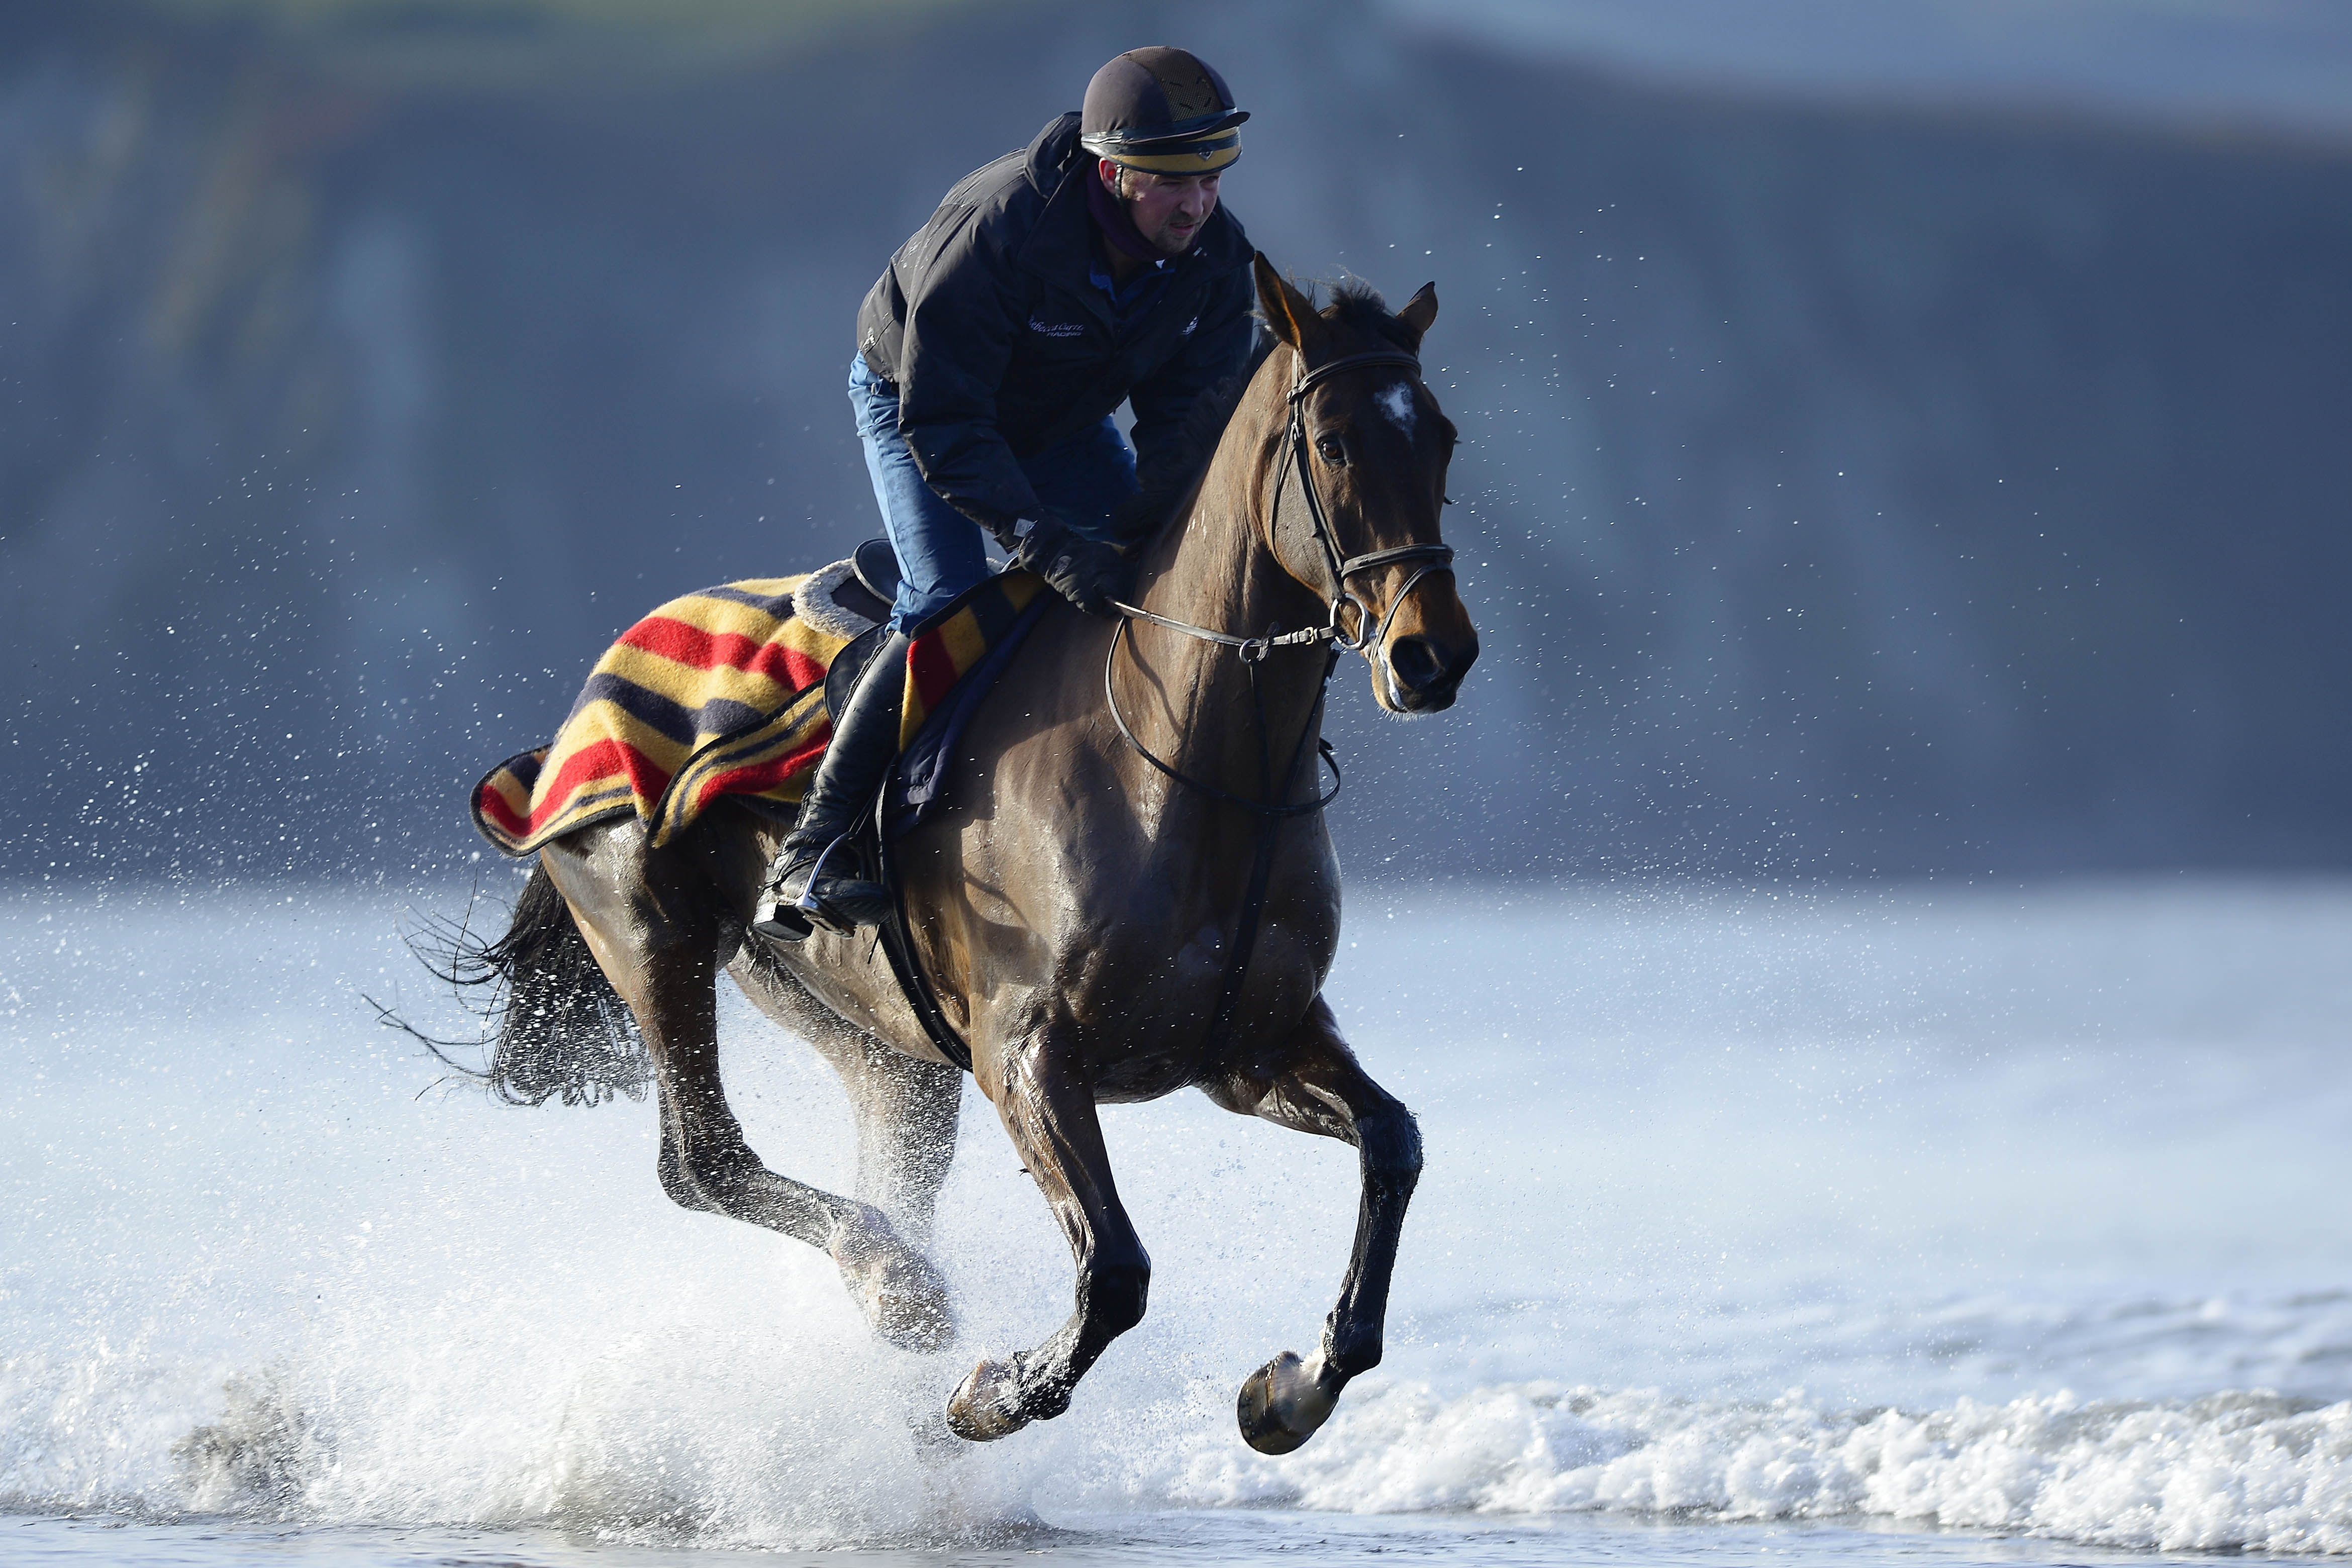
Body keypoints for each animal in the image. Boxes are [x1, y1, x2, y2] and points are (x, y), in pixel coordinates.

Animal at [456, 255, 1478, 1455]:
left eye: (1443, 436)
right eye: (1334, 443)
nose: (1432, 654)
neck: (1181, 764)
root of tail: (572, 719)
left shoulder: (1250, 1046)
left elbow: (1393, 1143)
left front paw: (1291, 1388)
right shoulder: (1025, 1049)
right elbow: (1116, 1269)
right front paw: (994, 1391)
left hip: (869, 1031)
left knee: (876, 1162)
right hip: (650, 932)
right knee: (701, 1162)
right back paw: (900, 1287)